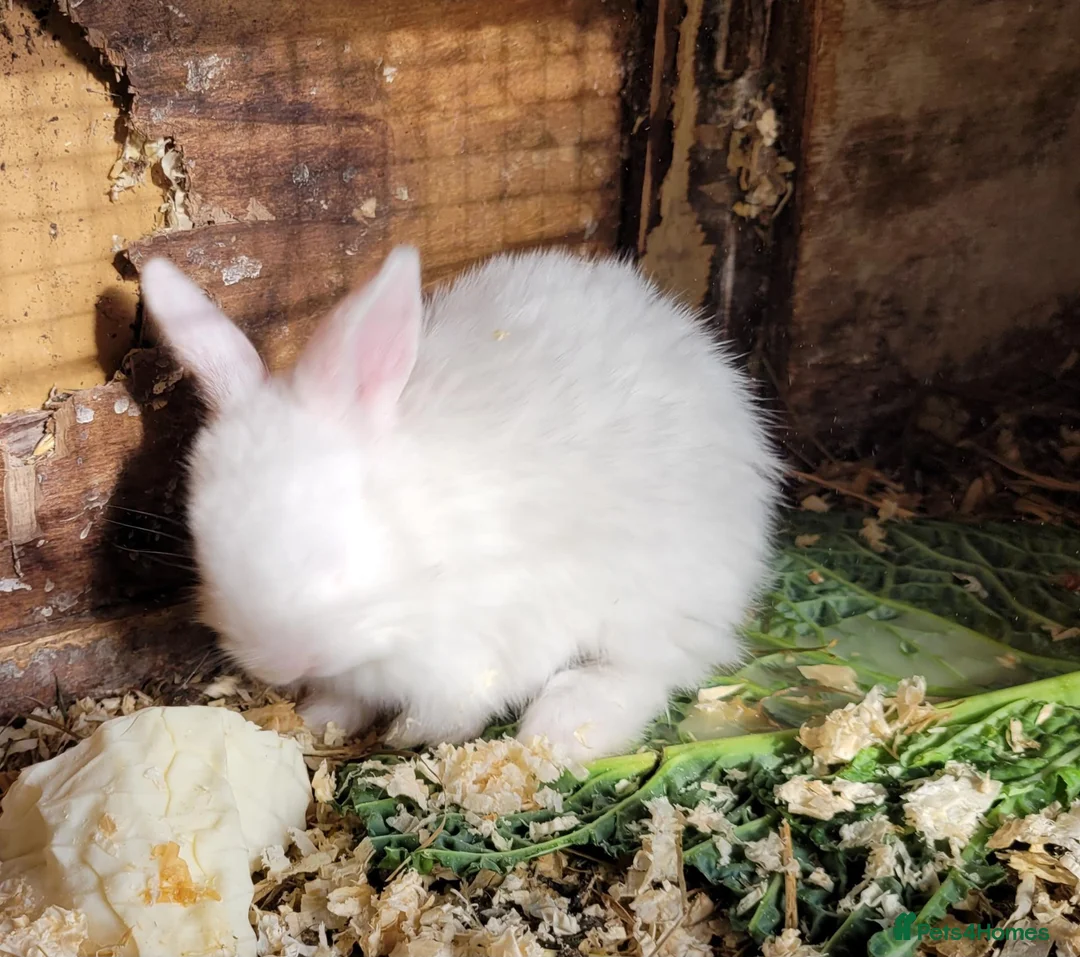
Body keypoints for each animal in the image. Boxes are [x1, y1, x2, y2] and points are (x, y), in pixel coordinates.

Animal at [140, 244, 783, 763]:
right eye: (202, 550)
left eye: (333, 556)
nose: (278, 665)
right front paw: (319, 720)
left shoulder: (488, 645)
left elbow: (455, 708)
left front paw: (405, 734)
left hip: (654, 600)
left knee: (649, 669)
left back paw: (560, 728)